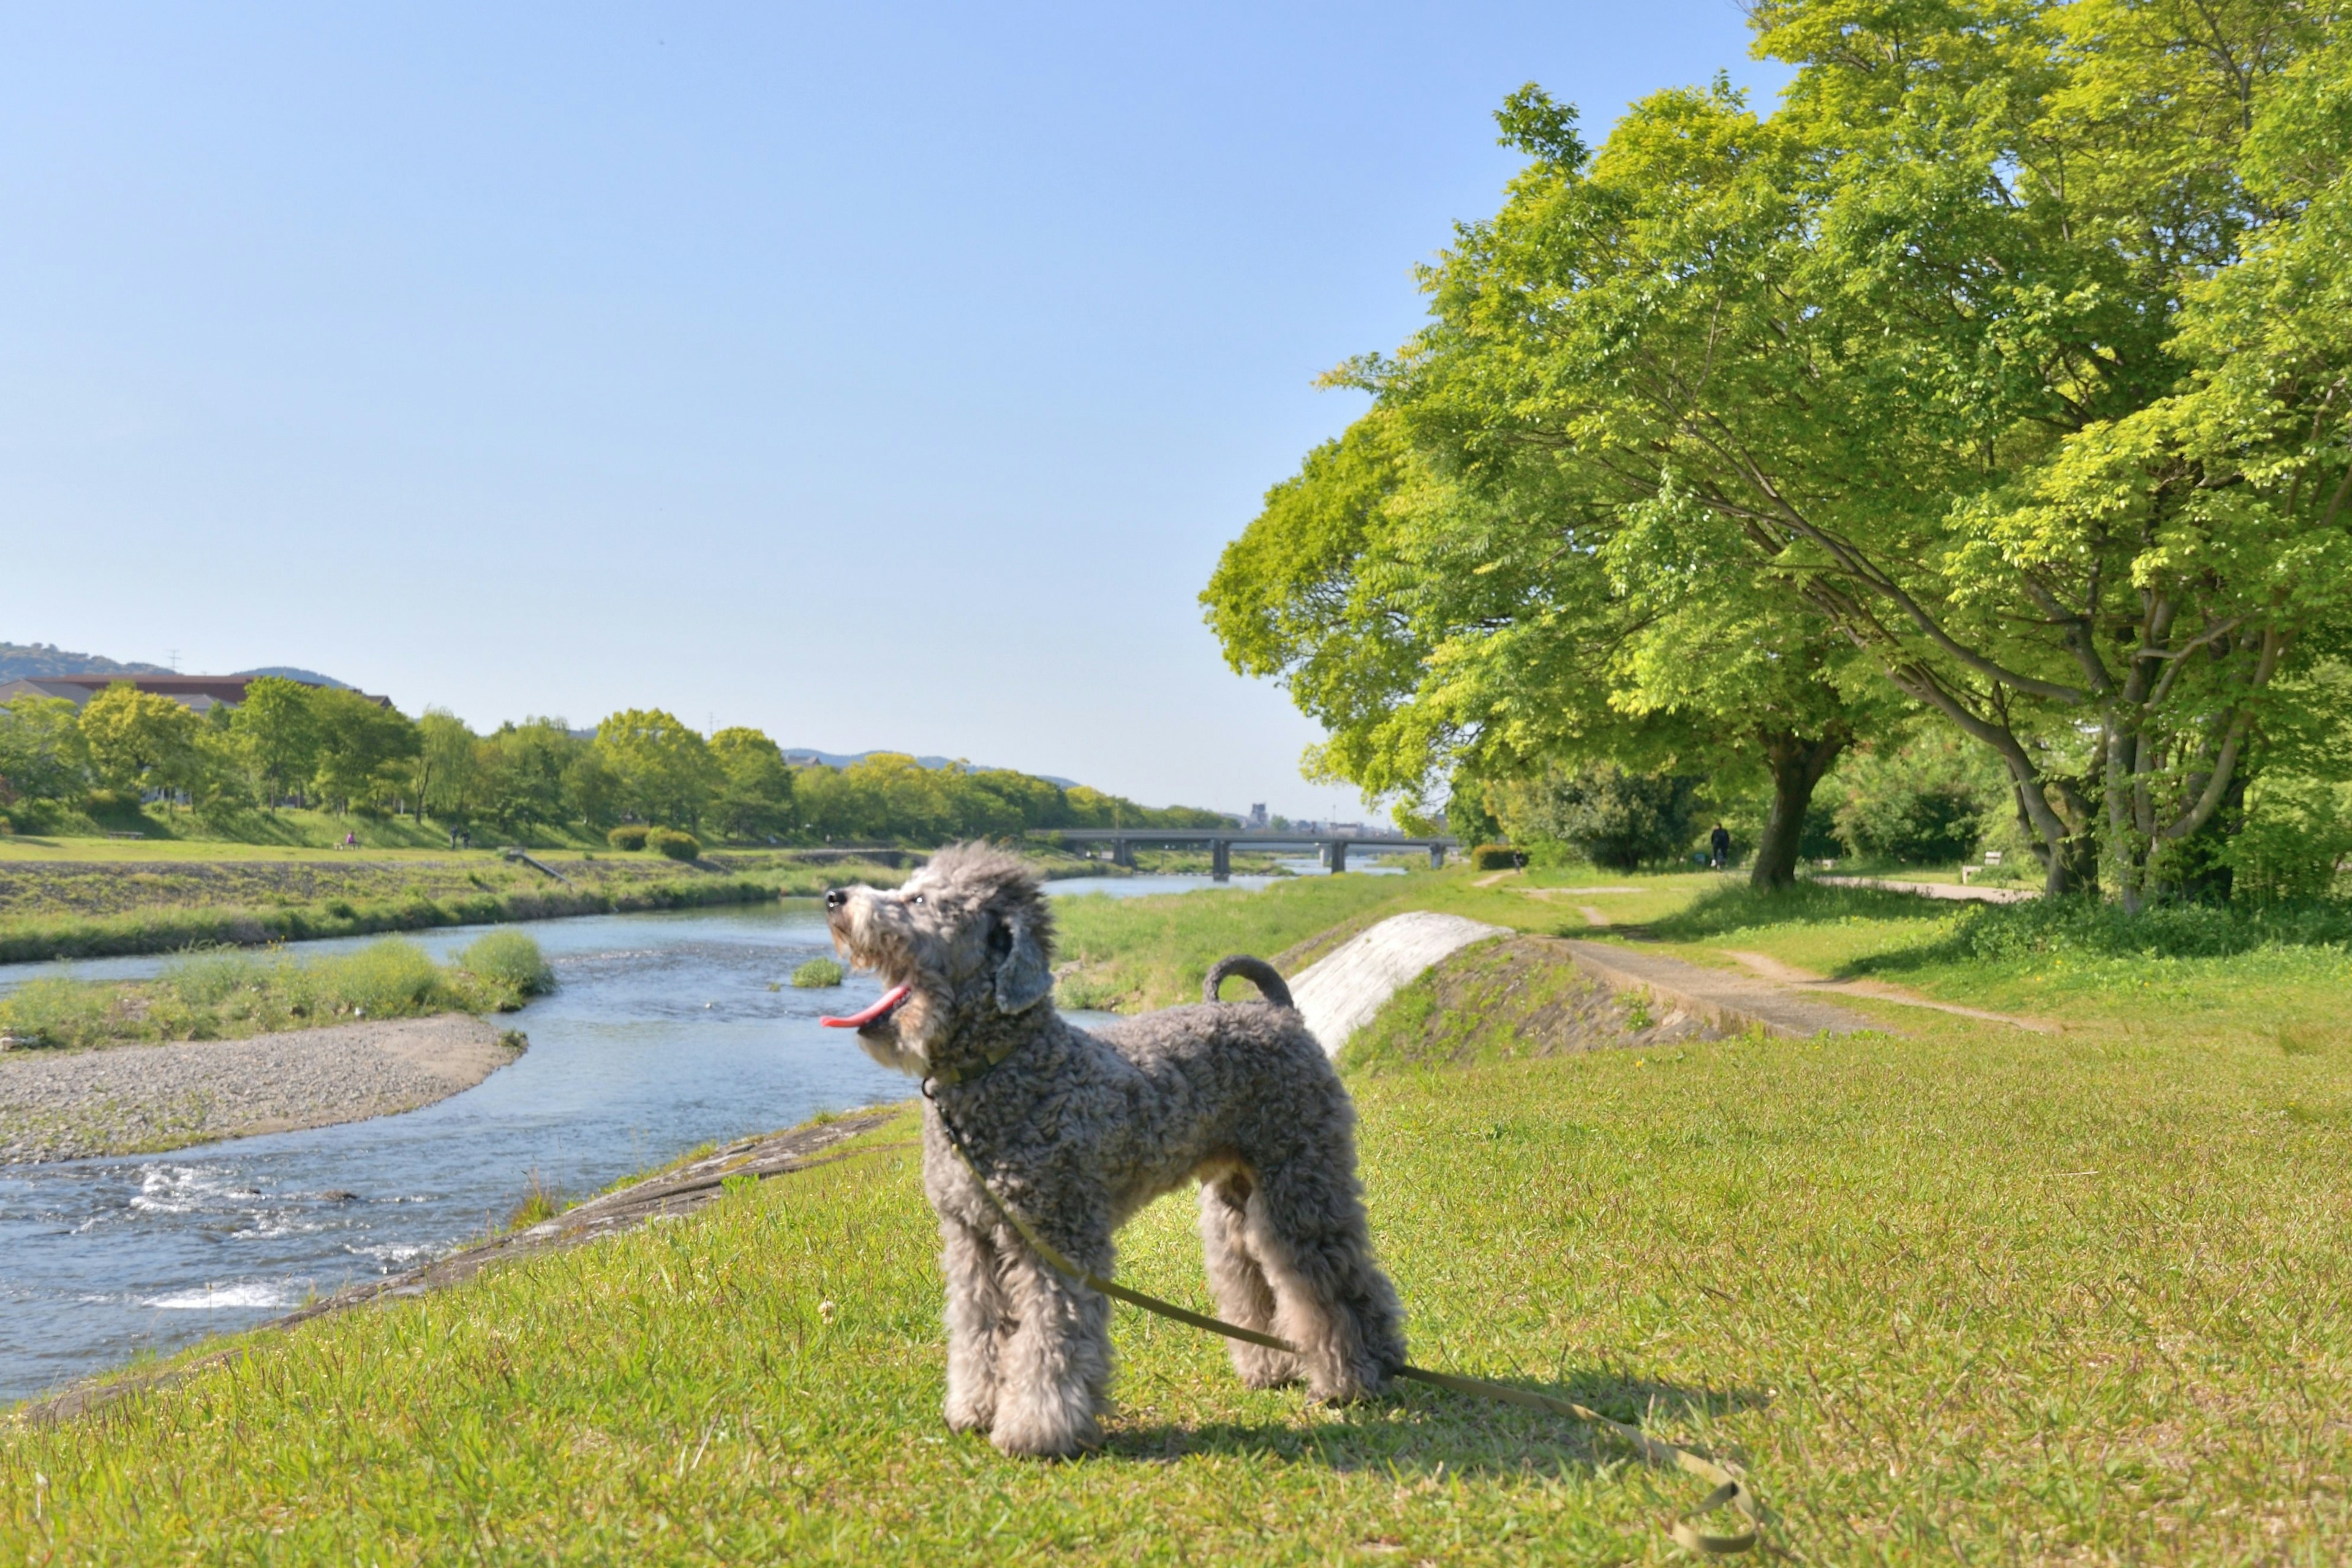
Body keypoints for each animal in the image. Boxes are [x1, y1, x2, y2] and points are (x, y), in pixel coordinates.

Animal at [827, 846, 1401, 1457]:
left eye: (917, 899)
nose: (835, 898)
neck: (1008, 1068)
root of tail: (1280, 1013)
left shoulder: (1058, 1243)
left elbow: (1051, 1338)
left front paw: (1038, 1429)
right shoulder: (973, 1240)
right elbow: (978, 1330)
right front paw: (975, 1408)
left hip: (1304, 1186)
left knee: (1336, 1281)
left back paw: (1359, 1374)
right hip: (1237, 1203)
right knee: (1254, 1277)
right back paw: (1272, 1367)